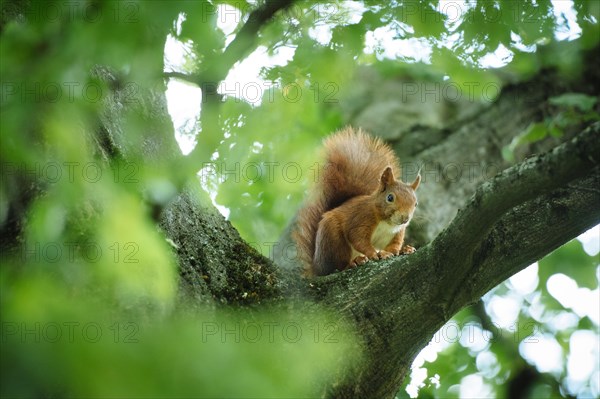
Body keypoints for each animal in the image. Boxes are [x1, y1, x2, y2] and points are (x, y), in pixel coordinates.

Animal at [292, 126, 420, 276]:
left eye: (415, 203)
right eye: (390, 197)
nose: (405, 218)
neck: (386, 222)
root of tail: (316, 267)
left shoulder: (396, 233)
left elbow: (393, 246)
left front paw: (402, 250)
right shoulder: (361, 218)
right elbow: (358, 239)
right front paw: (373, 254)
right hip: (333, 238)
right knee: (337, 265)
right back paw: (353, 262)